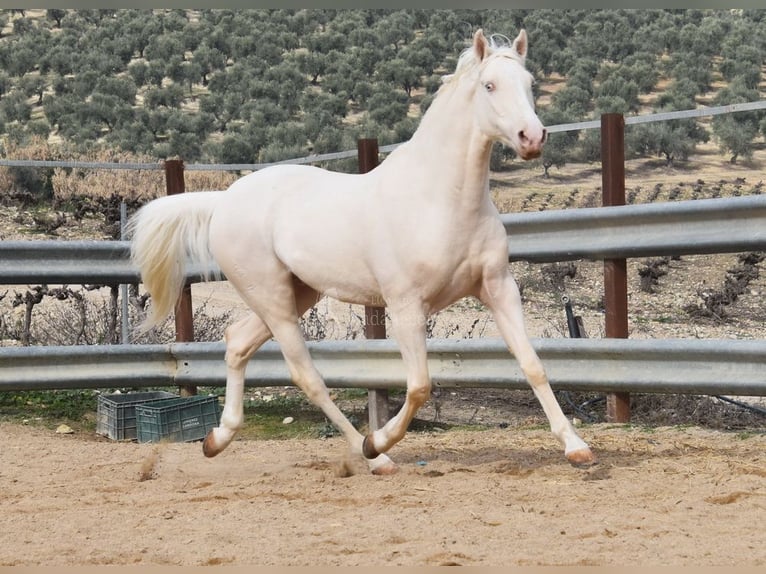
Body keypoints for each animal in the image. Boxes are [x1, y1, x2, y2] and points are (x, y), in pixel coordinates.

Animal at [129, 28, 600, 476]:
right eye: (489, 85)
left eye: (529, 82)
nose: (532, 137)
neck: (440, 199)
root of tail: (224, 200)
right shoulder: (406, 305)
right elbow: (419, 385)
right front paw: (379, 440)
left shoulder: (498, 288)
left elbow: (533, 364)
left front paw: (578, 449)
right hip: (272, 298)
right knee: (307, 376)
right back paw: (374, 457)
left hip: (297, 293)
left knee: (237, 342)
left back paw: (216, 439)